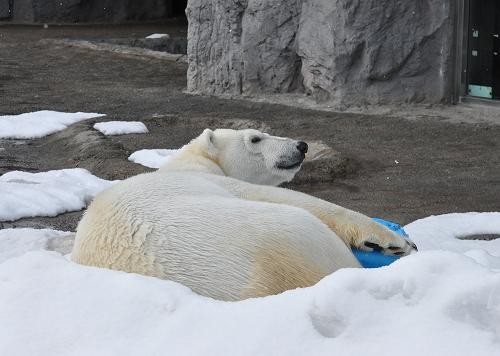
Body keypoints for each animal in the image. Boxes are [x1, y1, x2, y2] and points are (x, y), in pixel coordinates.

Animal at [72, 128, 416, 300]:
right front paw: (393, 241)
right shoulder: (222, 184)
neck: (192, 161)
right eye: (255, 138)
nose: (301, 146)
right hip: (285, 234)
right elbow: (297, 200)